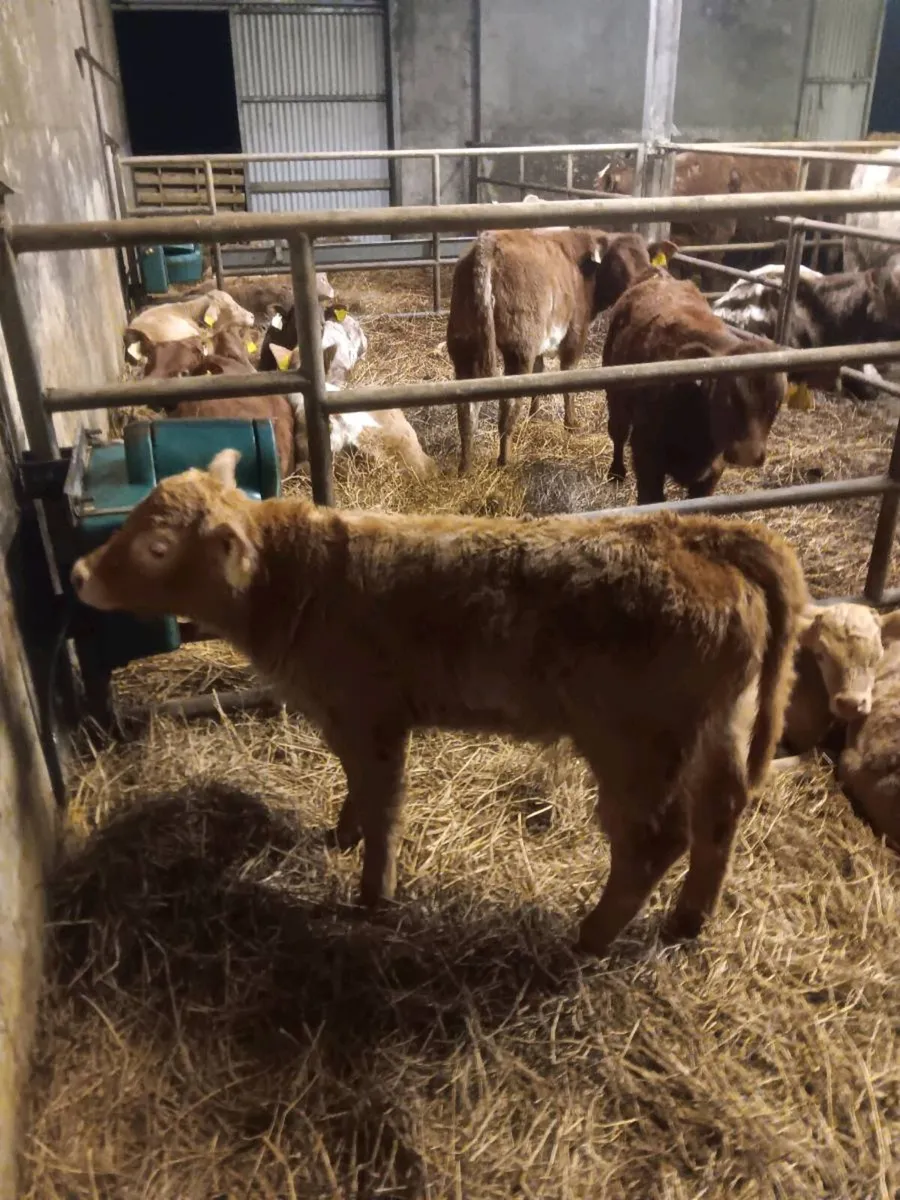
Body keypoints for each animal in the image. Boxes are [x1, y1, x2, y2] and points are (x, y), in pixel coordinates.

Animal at [70, 450, 808, 956]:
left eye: (158, 546)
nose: (77, 574)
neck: (302, 581)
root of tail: (690, 534)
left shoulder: (372, 716)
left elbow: (385, 802)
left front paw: (373, 894)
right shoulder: (347, 719)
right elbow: (358, 788)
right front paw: (340, 835)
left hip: (636, 749)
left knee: (655, 841)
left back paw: (590, 936)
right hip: (719, 727)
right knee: (720, 815)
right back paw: (686, 921)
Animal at [447, 229, 677, 475]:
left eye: (645, 259)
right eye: (617, 264)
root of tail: (487, 243)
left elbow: (539, 373)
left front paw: (534, 414)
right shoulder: (576, 332)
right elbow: (568, 375)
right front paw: (571, 422)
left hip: (465, 346)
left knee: (466, 409)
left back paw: (465, 467)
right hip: (519, 349)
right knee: (508, 405)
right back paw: (505, 460)